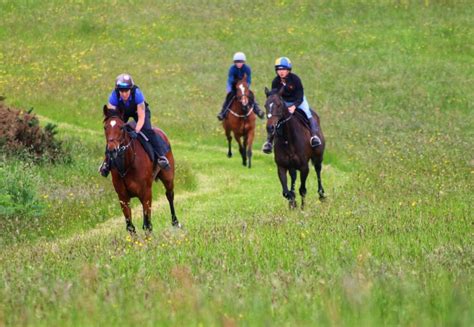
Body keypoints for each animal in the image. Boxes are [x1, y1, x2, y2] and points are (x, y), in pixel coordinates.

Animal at [102, 106, 180, 234]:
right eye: (105, 127)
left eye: (121, 127)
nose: (112, 150)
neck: (126, 165)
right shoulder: (123, 198)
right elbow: (130, 226)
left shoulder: (146, 193)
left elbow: (148, 225)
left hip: (168, 177)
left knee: (170, 195)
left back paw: (175, 223)